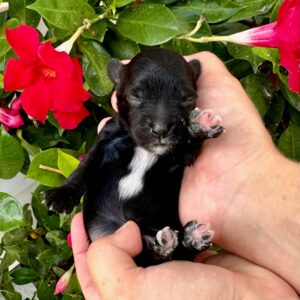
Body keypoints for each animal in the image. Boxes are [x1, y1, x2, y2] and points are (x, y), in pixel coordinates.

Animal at [44, 48, 223, 266]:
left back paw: (190, 238)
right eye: (135, 96)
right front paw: (62, 194)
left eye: (187, 99)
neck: (145, 149)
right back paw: (167, 243)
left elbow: (187, 142)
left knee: (174, 253)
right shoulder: (106, 140)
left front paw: (200, 126)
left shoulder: (180, 155)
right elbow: (86, 165)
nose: (161, 129)